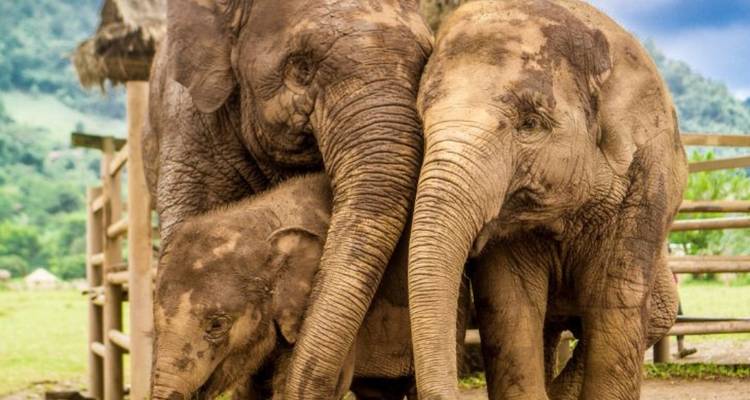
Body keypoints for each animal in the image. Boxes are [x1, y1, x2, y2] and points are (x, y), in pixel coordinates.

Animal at [406, 1, 688, 399]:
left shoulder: (647, 180)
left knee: (657, 313)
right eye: (420, 121)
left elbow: (616, 303)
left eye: (530, 123)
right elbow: (511, 305)